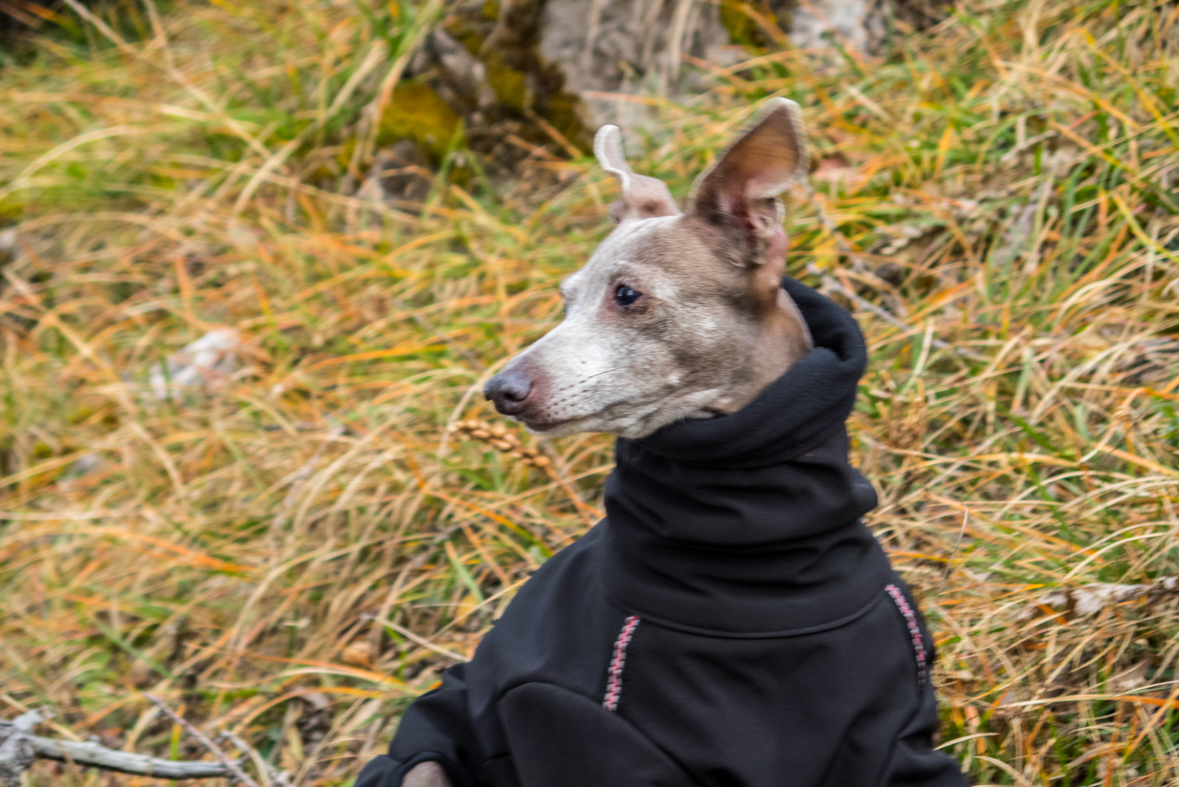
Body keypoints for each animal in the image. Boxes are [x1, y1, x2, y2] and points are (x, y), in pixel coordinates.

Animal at [360, 100, 966, 787]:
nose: (499, 390)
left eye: (627, 294)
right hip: (426, 767)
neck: (757, 568)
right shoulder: (575, 728)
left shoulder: (893, 731)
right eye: (565, 300)